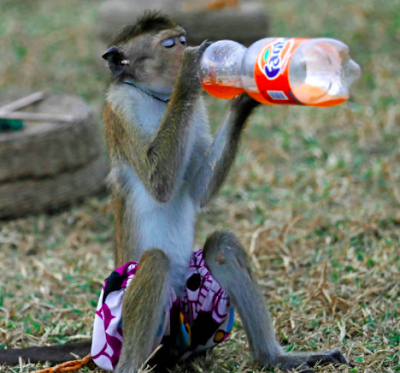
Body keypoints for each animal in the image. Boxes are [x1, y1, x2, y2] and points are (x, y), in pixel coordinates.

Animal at [0, 10, 354, 372]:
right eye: (170, 44)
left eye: (182, 39)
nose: (187, 48)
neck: (155, 96)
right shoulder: (121, 107)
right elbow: (159, 185)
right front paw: (191, 71)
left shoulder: (195, 113)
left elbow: (199, 191)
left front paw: (244, 95)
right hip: (119, 328)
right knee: (155, 262)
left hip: (198, 320)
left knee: (222, 247)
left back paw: (273, 358)